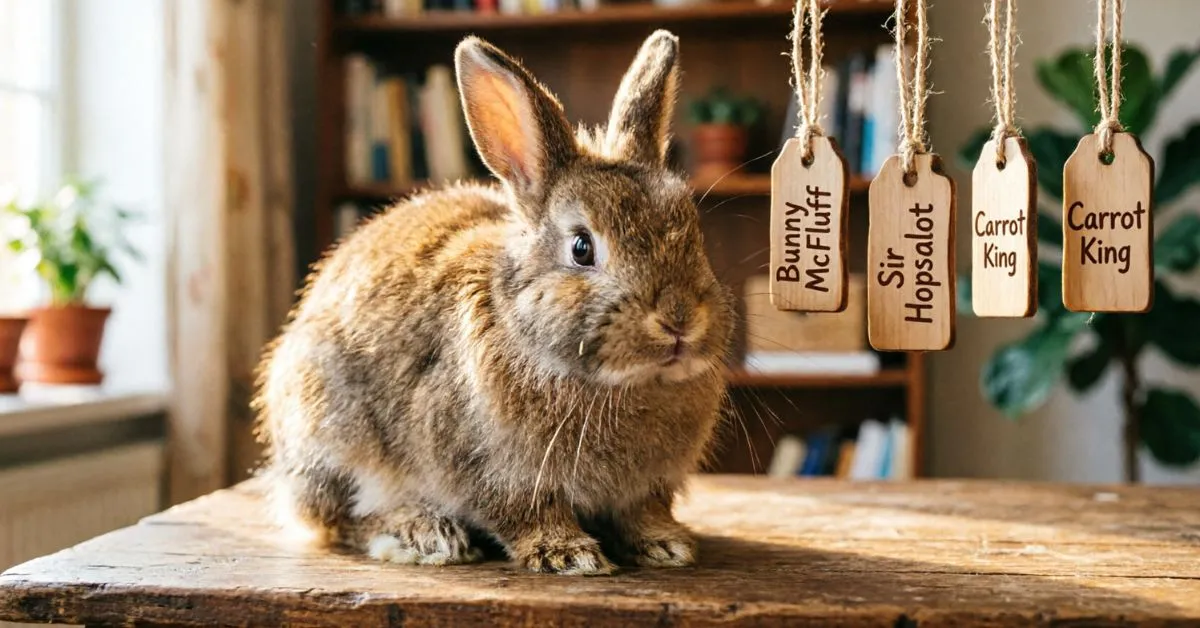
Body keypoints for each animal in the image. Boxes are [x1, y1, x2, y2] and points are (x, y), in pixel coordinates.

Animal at [255, 29, 734, 576]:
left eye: (694, 233)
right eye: (582, 247)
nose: (679, 320)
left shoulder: (647, 488)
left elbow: (643, 513)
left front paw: (666, 544)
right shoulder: (492, 470)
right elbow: (526, 513)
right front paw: (568, 554)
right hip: (331, 437)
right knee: (340, 518)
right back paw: (424, 535)